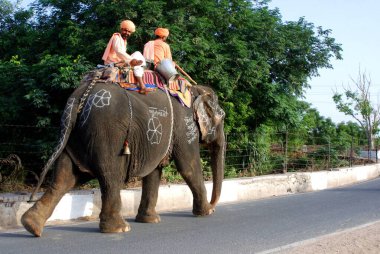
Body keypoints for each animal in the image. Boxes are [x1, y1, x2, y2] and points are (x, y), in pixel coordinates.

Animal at [21, 72, 226, 238]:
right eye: (222, 116)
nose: (214, 205)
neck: (194, 90)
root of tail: (81, 94)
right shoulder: (184, 125)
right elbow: (188, 165)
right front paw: (207, 213)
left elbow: (154, 172)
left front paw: (150, 220)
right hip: (107, 131)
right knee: (111, 176)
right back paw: (119, 229)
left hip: (76, 134)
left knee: (65, 177)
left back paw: (31, 225)